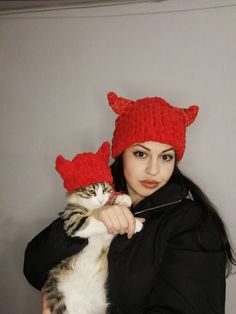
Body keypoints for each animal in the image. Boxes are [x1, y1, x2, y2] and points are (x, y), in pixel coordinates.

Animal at [43, 180, 143, 314]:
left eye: (105, 189)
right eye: (91, 191)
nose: (100, 200)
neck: (93, 209)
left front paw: (123, 199)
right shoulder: (74, 222)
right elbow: (101, 222)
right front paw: (135, 223)